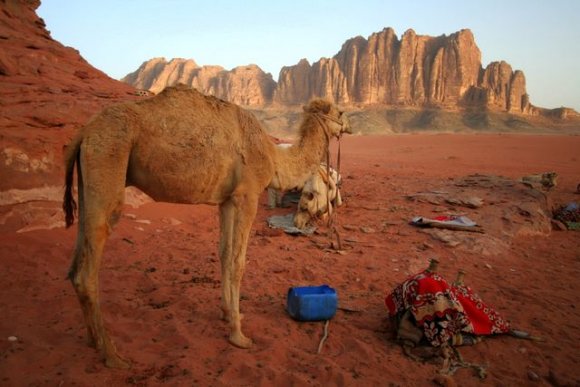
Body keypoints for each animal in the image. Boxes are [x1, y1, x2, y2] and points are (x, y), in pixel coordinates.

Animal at [62, 83, 348, 368]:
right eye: (340, 112)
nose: (348, 126)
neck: (273, 155)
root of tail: (85, 131)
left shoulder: (227, 200)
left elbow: (224, 254)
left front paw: (229, 314)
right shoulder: (247, 196)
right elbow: (238, 262)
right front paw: (239, 336)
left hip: (88, 182)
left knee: (76, 262)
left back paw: (94, 341)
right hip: (108, 159)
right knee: (89, 266)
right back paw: (112, 355)